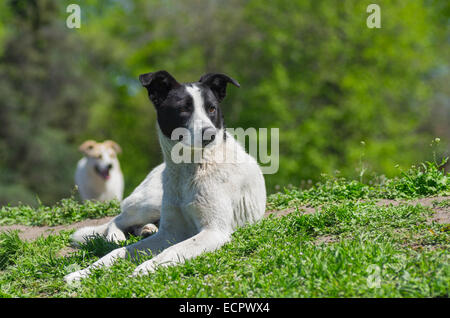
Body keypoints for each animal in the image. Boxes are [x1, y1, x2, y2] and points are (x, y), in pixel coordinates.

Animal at [65, 70, 266, 284]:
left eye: (212, 109)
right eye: (183, 109)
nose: (210, 134)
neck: (189, 168)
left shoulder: (213, 231)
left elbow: (173, 250)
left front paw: (145, 268)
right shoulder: (171, 232)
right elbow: (118, 252)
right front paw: (83, 273)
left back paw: (146, 230)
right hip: (151, 202)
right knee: (118, 218)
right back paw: (117, 236)